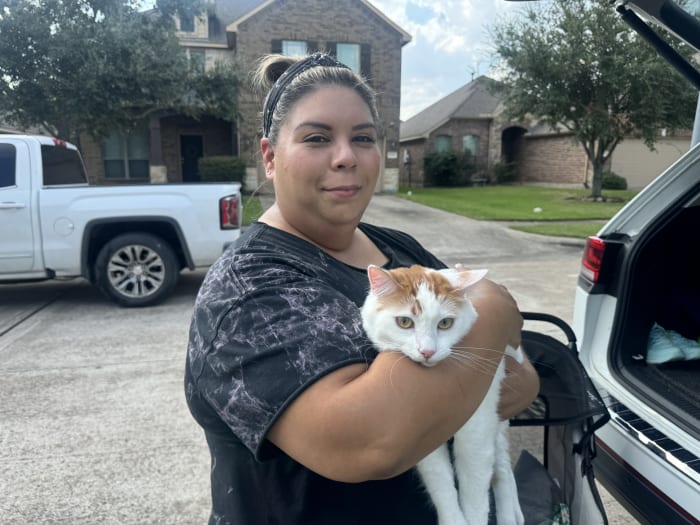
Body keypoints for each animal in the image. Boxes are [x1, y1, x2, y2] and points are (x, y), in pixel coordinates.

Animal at [364, 264, 524, 524]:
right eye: (405, 322)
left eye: (446, 323)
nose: (427, 352)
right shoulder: (419, 434)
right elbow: (440, 481)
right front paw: (453, 519)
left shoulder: (477, 428)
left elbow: (475, 490)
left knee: (501, 466)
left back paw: (510, 515)